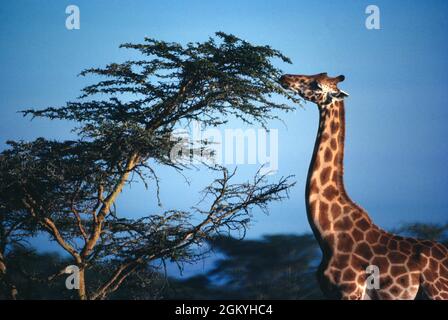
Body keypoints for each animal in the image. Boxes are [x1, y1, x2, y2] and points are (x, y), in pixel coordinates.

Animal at [280, 72, 448, 300]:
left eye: (316, 84)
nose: (285, 78)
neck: (328, 235)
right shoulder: (330, 292)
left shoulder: (349, 290)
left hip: (439, 292)